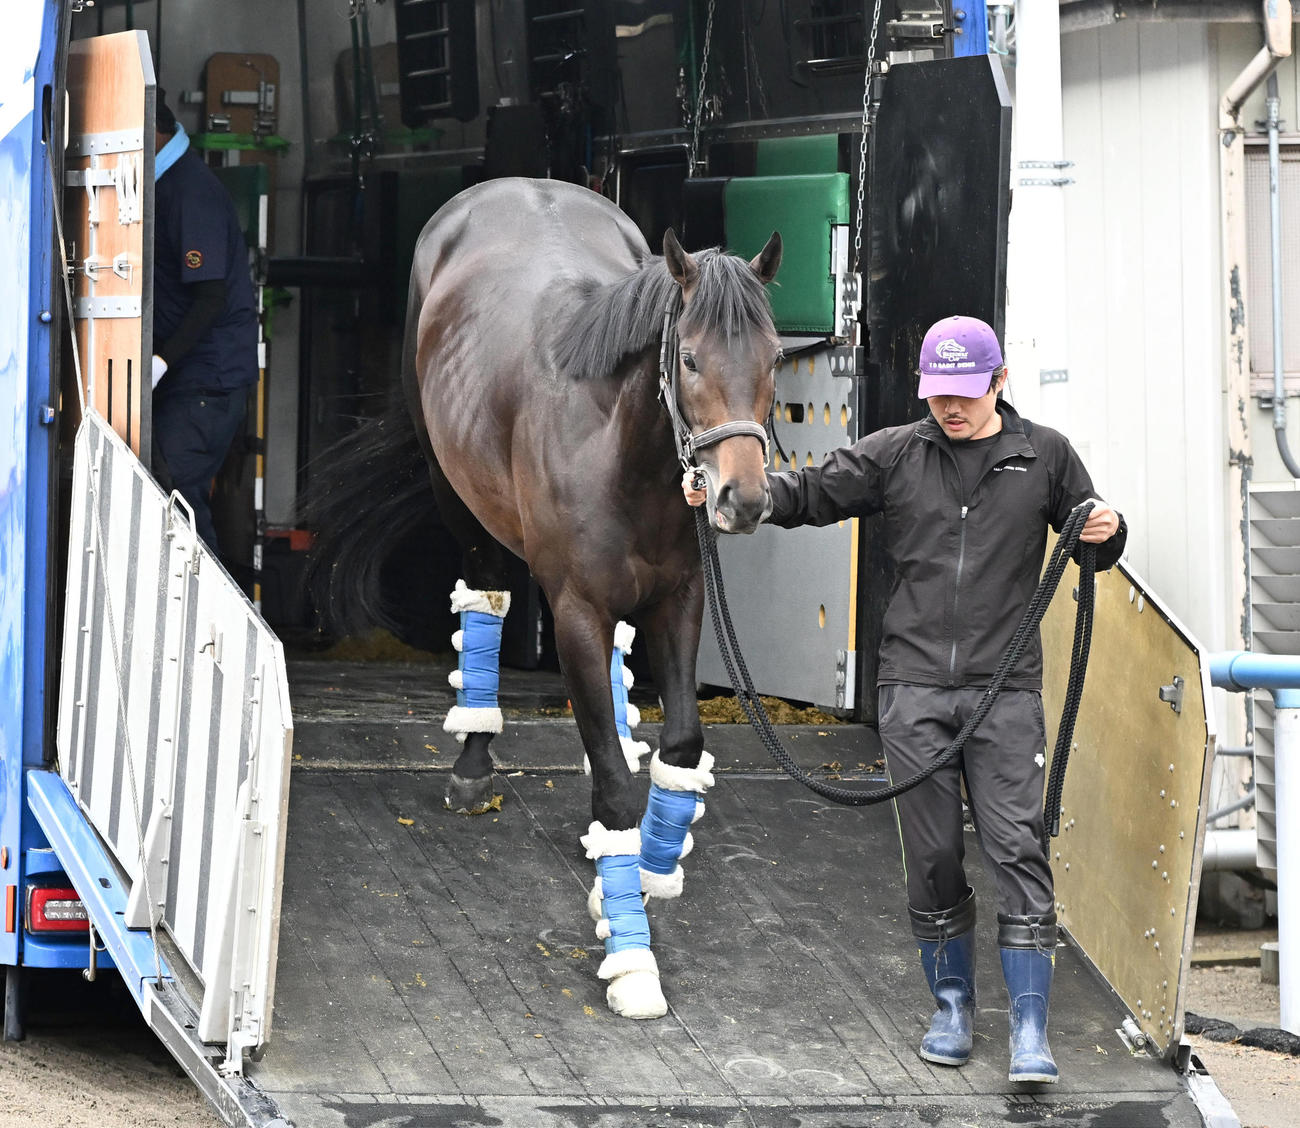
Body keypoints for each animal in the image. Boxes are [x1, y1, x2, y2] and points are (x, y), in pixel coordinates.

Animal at [329, 176, 782, 1019]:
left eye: (774, 356)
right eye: (691, 357)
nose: (741, 498)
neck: (615, 446)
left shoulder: (680, 600)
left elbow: (679, 747)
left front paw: (648, 871)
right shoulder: (573, 610)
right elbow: (614, 790)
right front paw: (632, 960)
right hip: (457, 497)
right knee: (484, 594)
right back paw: (473, 765)